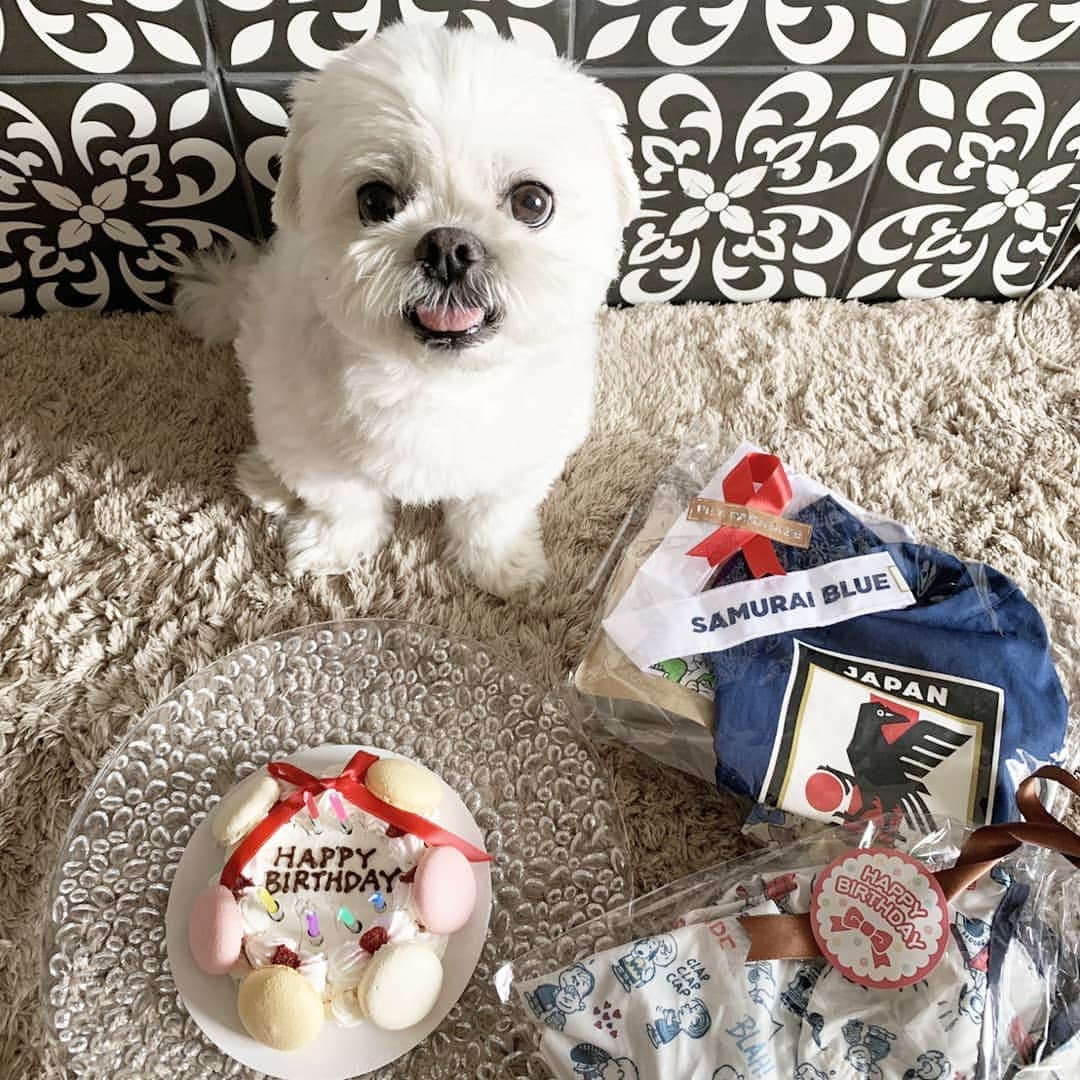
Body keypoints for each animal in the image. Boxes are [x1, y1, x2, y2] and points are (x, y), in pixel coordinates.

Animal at [172, 23, 635, 600]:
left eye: (532, 202)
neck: (437, 384)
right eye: (376, 201)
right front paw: (332, 550)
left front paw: (502, 569)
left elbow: (491, 517)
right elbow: (344, 505)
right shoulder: (316, 453)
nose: (448, 247)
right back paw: (266, 481)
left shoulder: (521, 459)